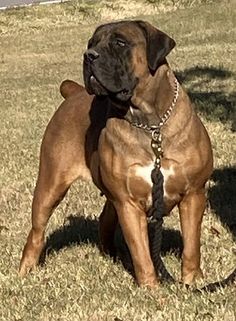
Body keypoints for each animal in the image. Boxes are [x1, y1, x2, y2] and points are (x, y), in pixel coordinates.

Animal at [19, 21, 213, 286]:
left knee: (104, 219)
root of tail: (74, 92)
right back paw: (25, 271)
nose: (88, 55)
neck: (150, 123)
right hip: (50, 185)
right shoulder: (128, 204)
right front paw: (151, 288)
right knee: (37, 232)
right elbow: (142, 253)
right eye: (91, 43)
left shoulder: (194, 194)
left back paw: (112, 255)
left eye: (120, 43)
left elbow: (192, 245)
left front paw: (192, 281)